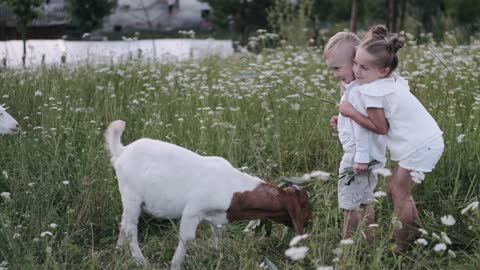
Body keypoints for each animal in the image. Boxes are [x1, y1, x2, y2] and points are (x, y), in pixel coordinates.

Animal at [104, 121, 312, 270]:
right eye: (303, 205)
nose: (308, 225)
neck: (233, 190)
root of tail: (122, 151)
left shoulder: (216, 217)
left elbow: (218, 233)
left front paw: (219, 255)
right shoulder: (192, 211)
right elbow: (186, 238)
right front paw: (176, 265)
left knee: (123, 221)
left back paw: (119, 249)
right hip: (131, 196)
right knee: (131, 228)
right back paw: (140, 261)